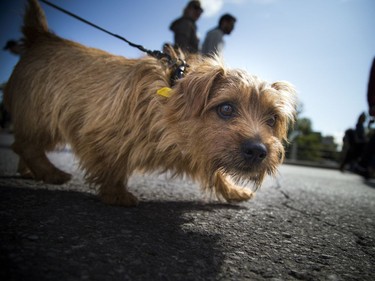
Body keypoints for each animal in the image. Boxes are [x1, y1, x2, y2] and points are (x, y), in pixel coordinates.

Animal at [4, 0, 298, 206]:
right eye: (226, 108)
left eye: (272, 119)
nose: (258, 151)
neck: (171, 102)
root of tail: (42, 37)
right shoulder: (103, 131)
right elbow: (113, 166)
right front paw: (116, 194)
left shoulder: (200, 152)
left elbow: (217, 173)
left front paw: (234, 191)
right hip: (43, 115)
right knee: (25, 144)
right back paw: (51, 172)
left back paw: (31, 171)